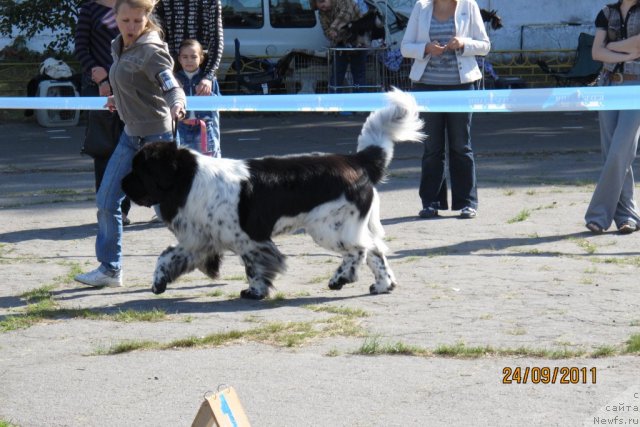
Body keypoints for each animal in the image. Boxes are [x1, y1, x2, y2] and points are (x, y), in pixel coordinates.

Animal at [124, 88, 424, 300]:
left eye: (140, 171)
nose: (122, 184)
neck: (188, 179)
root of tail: (355, 160)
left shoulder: (249, 240)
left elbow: (254, 267)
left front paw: (254, 292)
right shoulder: (199, 239)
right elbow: (167, 257)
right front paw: (158, 282)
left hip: (329, 227)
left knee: (360, 250)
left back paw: (340, 278)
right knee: (375, 249)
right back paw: (382, 285)